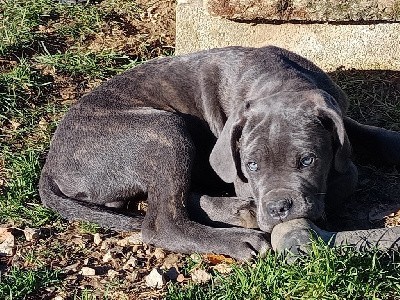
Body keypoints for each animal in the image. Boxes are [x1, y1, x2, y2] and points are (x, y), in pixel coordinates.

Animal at [39, 45, 400, 258]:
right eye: (251, 166)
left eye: (307, 160)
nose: (279, 208)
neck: (279, 81)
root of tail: (50, 165)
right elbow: (344, 179)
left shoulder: (335, 111)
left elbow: (370, 136)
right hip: (164, 131)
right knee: (162, 220)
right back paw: (239, 235)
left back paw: (239, 213)